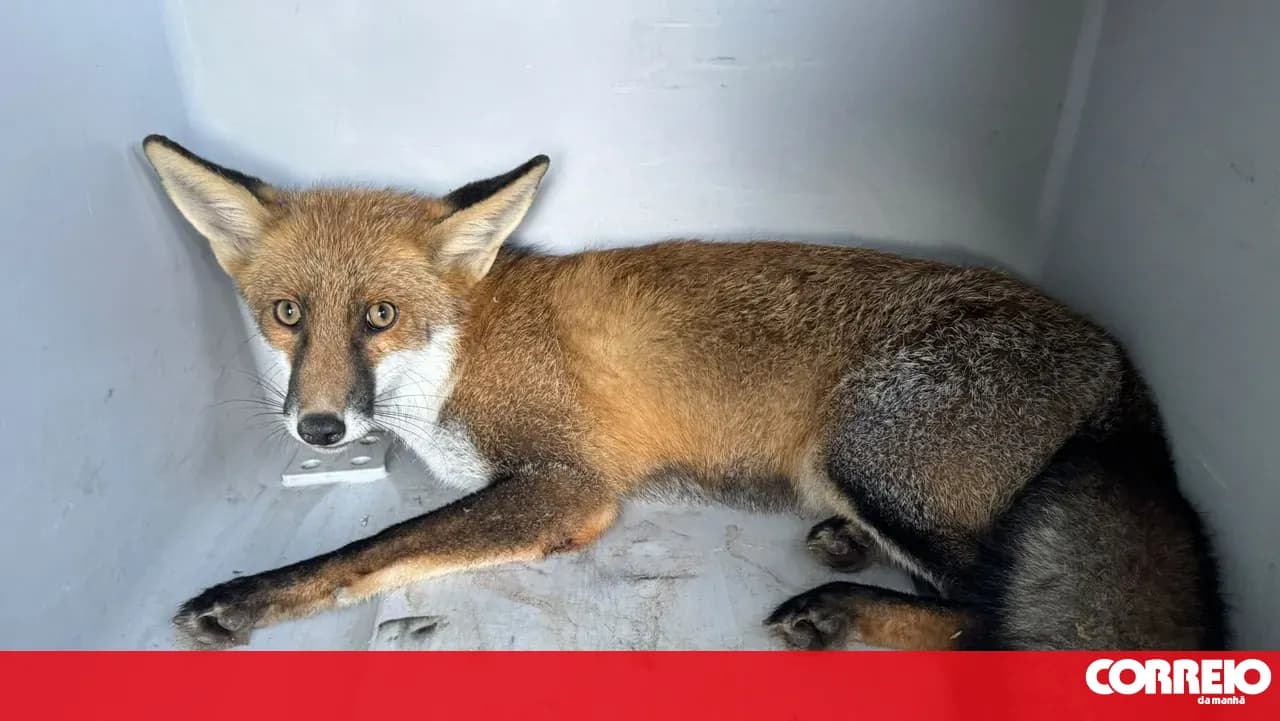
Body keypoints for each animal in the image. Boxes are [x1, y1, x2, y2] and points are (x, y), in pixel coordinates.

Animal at [141, 135, 1226, 651]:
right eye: (286, 313)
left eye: (378, 316)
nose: (320, 426)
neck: (465, 348)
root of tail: (1115, 361)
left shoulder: (567, 485)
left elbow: (375, 548)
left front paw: (249, 596)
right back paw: (845, 556)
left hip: (866, 452)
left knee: (983, 611)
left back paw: (840, 608)